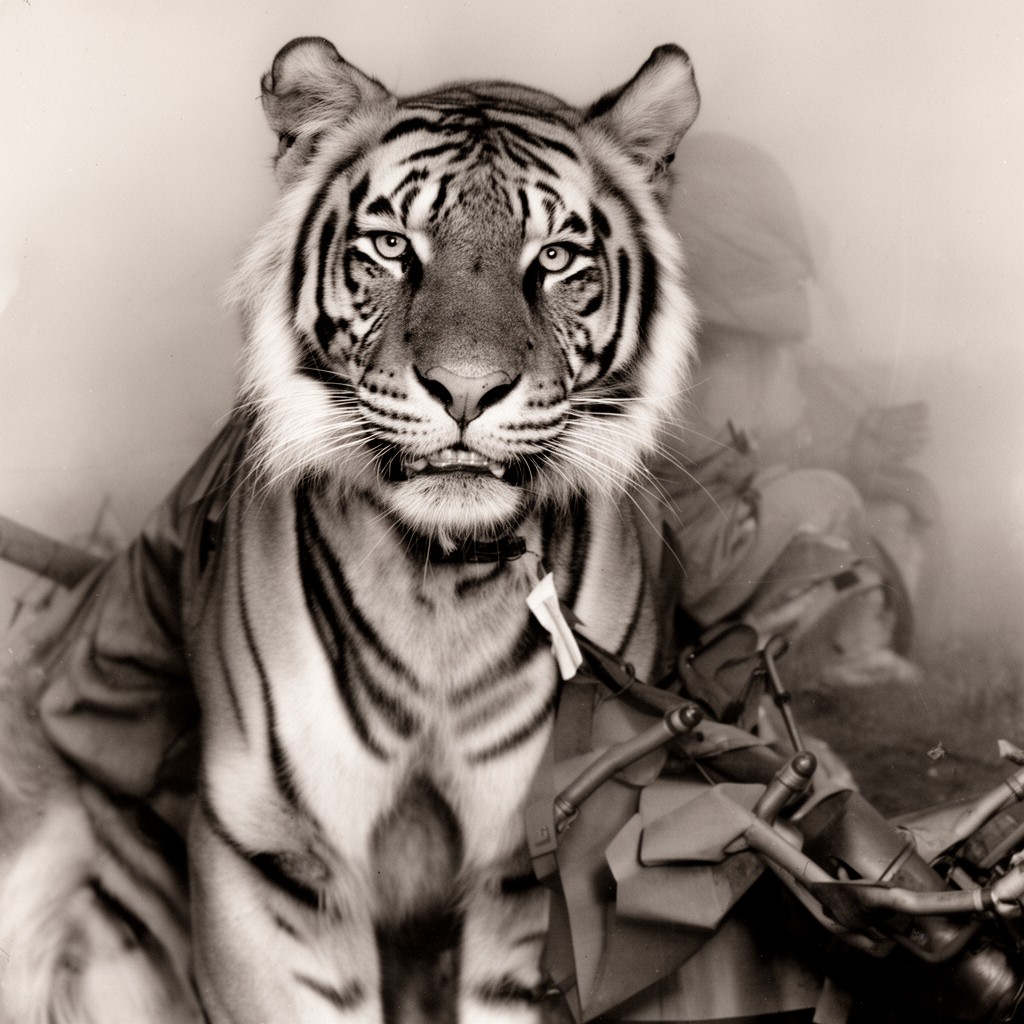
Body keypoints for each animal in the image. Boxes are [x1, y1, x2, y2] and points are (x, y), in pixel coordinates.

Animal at [0, 36, 699, 1024]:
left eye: (557, 256)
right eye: (392, 246)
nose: (466, 391)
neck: (448, 583)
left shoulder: (540, 862)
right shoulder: (277, 853)